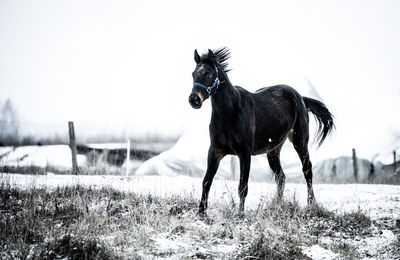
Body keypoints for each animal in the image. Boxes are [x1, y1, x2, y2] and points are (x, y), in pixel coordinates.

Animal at [188, 48, 334, 217]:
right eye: (193, 74)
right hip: (273, 151)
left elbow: (242, 187)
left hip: (300, 142)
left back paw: (311, 204)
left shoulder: (244, 153)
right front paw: (201, 213)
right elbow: (206, 181)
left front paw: (240, 215)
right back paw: (277, 206)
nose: (194, 100)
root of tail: (301, 98)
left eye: (208, 73)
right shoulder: (215, 151)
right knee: (281, 177)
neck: (230, 113)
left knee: (307, 170)